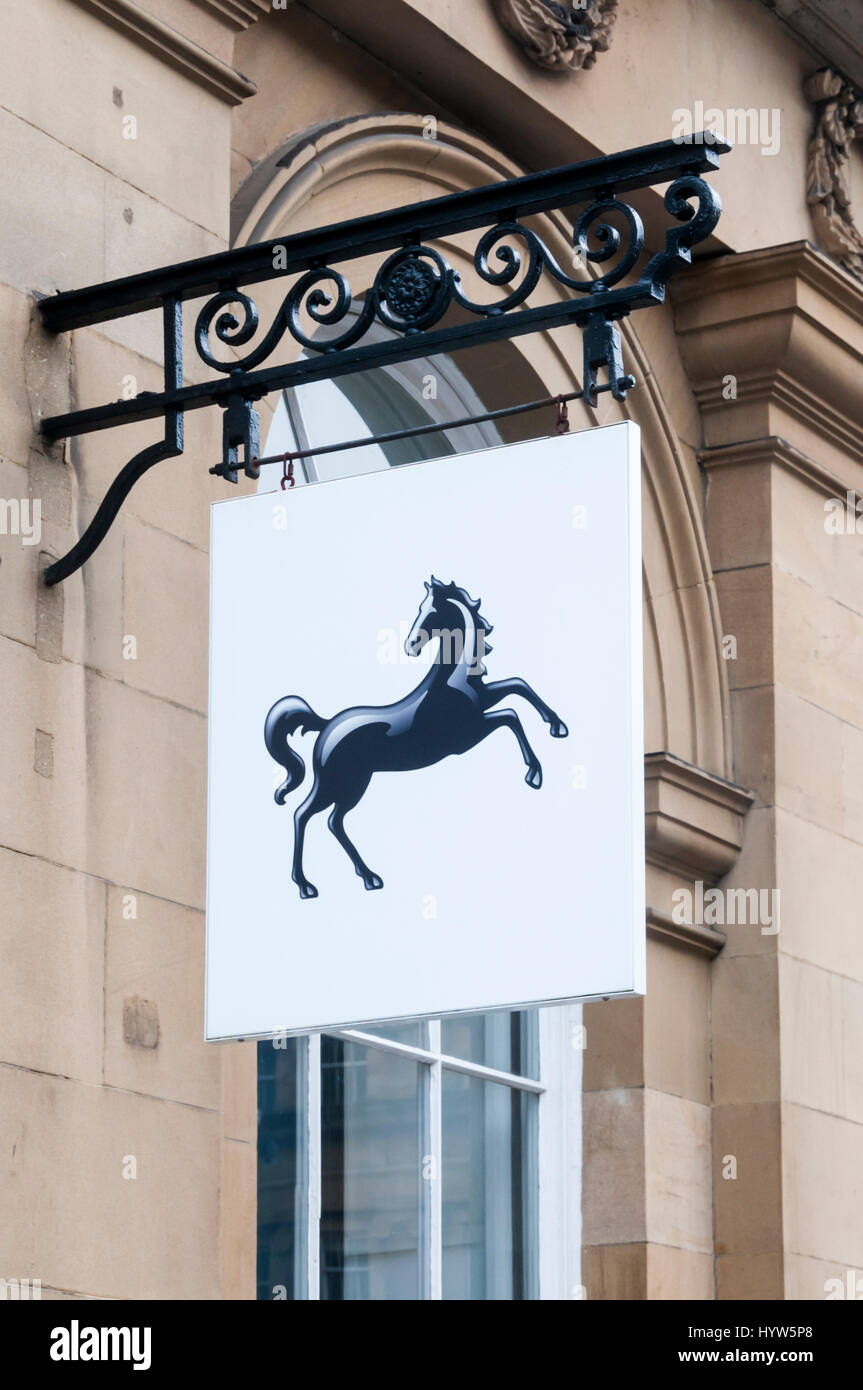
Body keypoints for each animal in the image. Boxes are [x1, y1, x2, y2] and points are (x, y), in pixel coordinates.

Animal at [265, 575, 569, 900]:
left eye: (431, 611)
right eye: (421, 609)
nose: (410, 646)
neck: (451, 680)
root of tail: (325, 727)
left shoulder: (484, 701)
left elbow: (518, 685)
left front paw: (557, 726)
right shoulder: (469, 734)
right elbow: (511, 715)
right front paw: (534, 773)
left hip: (350, 785)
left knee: (333, 822)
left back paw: (367, 878)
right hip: (340, 783)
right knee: (303, 815)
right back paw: (308, 886)